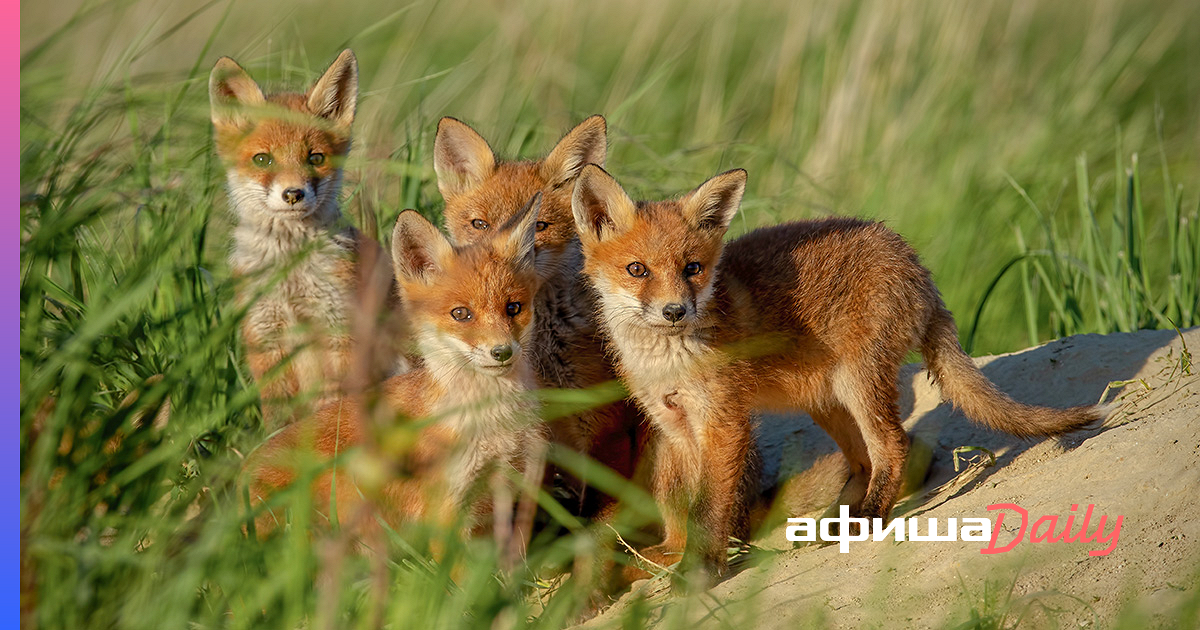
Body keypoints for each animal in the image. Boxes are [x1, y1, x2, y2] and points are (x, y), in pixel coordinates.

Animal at [208, 50, 410, 427]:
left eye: (315, 158)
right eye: (263, 159)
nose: (293, 194)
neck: (291, 272)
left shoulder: (340, 331)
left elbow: (335, 405)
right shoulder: (265, 336)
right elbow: (278, 419)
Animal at [566, 163, 1099, 585]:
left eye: (693, 268)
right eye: (637, 269)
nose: (676, 311)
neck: (667, 360)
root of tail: (911, 258)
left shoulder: (724, 422)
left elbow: (713, 507)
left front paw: (702, 569)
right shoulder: (673, 425)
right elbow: (677, 503)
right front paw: (672, 555)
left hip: (858, 382)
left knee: (892, 446)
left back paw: (868, 517)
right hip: (824, 400)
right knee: (861, 461)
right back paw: (834, 523)